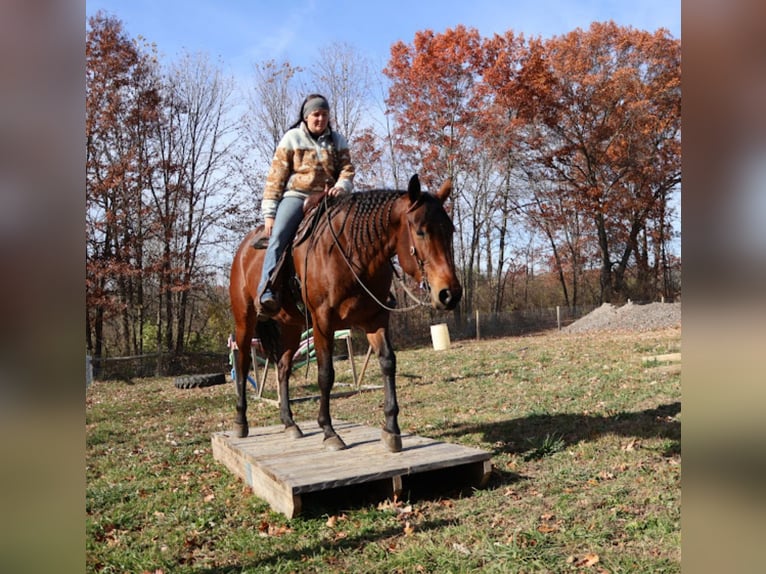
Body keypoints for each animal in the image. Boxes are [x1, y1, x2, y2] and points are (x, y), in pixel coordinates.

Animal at [228, 174, 462, 452]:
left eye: (450, 230)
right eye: (421, 231)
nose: (449, 294)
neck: (353, 254)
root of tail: (243, 250)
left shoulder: (375, 319)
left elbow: (388, 363)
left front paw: (391, 429)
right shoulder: (322, 322)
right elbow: (326, 374)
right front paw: (329, 431)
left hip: (291, 326)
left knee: (283, 367)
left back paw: (289, 423)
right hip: (245, 320)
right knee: (243, 363)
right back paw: (241, 422)